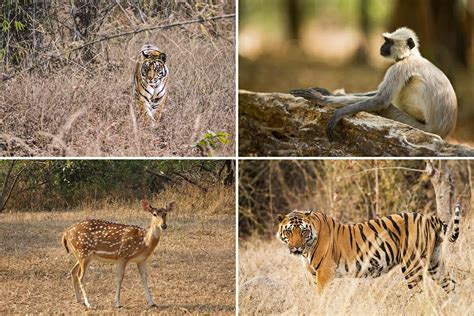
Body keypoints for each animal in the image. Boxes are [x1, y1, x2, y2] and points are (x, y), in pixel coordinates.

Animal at [276, 205, 462, 294]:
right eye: (289, 231)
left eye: (303, 231)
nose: (296, 247)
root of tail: (429, 218)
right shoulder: (314, 275)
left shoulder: (325, 273)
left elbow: (319, 298)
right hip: (435, 263)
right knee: (452, 285)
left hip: (412, 266)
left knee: (422, 295)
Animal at [290, 27, 458, 141]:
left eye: (388, 42)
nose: (381, 47)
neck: (409, 56)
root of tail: (443, 132)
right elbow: (376, 95)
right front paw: (326, 93)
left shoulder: (399, 67)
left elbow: (380, 101)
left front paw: (323, 101)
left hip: (417, 125)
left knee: (386, 106)